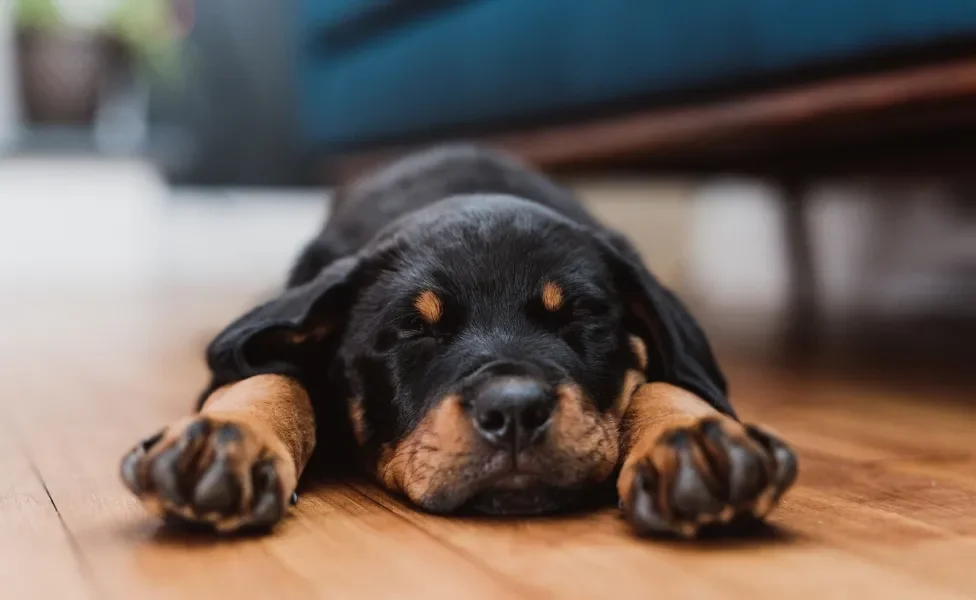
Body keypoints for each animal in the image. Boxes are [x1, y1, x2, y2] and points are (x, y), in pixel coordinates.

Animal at [118, 145, 796, 540]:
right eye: (414, 329)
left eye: (579, 317)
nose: (515, 411)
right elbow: (269, 375)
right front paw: (218, 441)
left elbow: (662, 381)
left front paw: (697, 442)